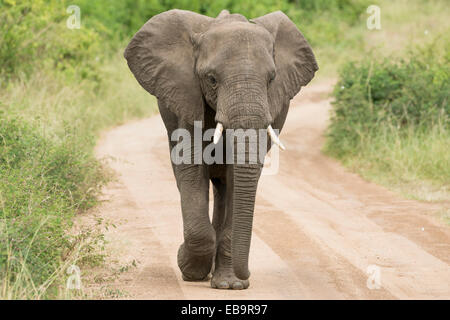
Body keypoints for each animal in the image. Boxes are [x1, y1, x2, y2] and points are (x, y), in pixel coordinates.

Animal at [125, 9, 318, 290]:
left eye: (271, 79)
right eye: (212, 79)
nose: (247, 274)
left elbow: (238, 176)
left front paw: (231, 285)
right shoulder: (187, 95)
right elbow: (192, 167)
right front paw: (189, 269)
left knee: (224, 187)